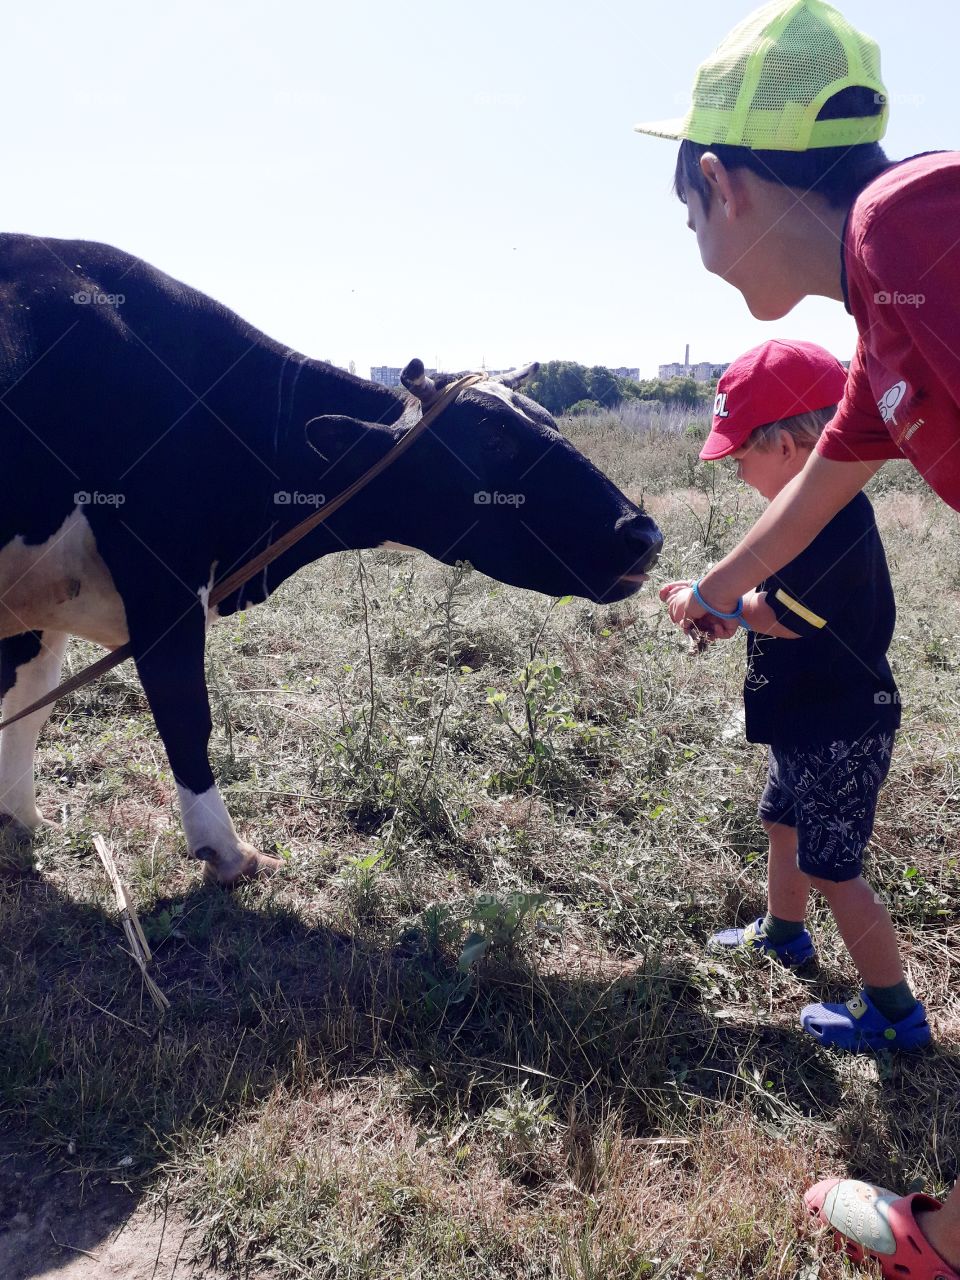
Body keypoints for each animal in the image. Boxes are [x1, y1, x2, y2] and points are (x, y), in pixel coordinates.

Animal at [0, 235, 660, 885]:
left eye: (549, 419)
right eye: (495, 439)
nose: (644, 533)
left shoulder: (41, 604)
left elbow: (30, 708)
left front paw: (22, 819)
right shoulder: (161, 579)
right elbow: (185, 715)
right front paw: (227, 852)